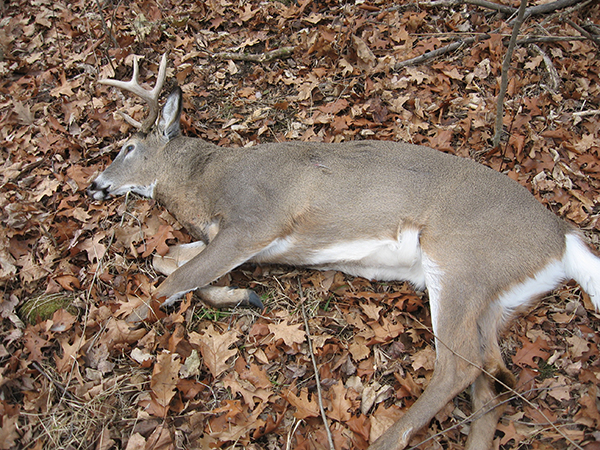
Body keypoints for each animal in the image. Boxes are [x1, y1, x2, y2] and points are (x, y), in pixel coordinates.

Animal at [88, 54, 600, 448]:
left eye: (127, 147)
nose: (94, 185)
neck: (206, 185)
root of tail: (562, 236)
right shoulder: (231, 238)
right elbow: (168, 260)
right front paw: (243, 296)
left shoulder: (257, 220)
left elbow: (175, 278)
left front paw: (117, 333)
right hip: (494, 300)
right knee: (491, 381)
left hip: (461, 261)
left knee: (459, 365)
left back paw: (387, 439)